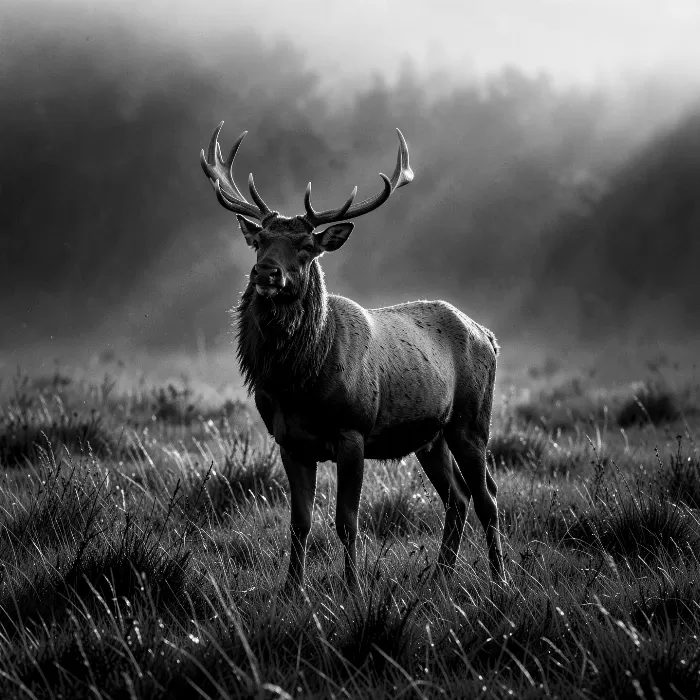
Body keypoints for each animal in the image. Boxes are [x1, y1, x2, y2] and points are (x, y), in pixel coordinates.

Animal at [200, 122, 505, 590]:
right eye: (260, 242)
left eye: (306, 246)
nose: (266, 272)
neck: (299, 387)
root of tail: (487, 335)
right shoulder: (290, 442)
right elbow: (299, 523)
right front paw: (291, 589)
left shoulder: (353, 432)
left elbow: (347, 522)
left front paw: (353, 588)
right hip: (430, 436)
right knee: (458, 496)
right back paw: (440, 577)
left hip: (471, 420)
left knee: (487, 497)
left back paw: (500, 581)